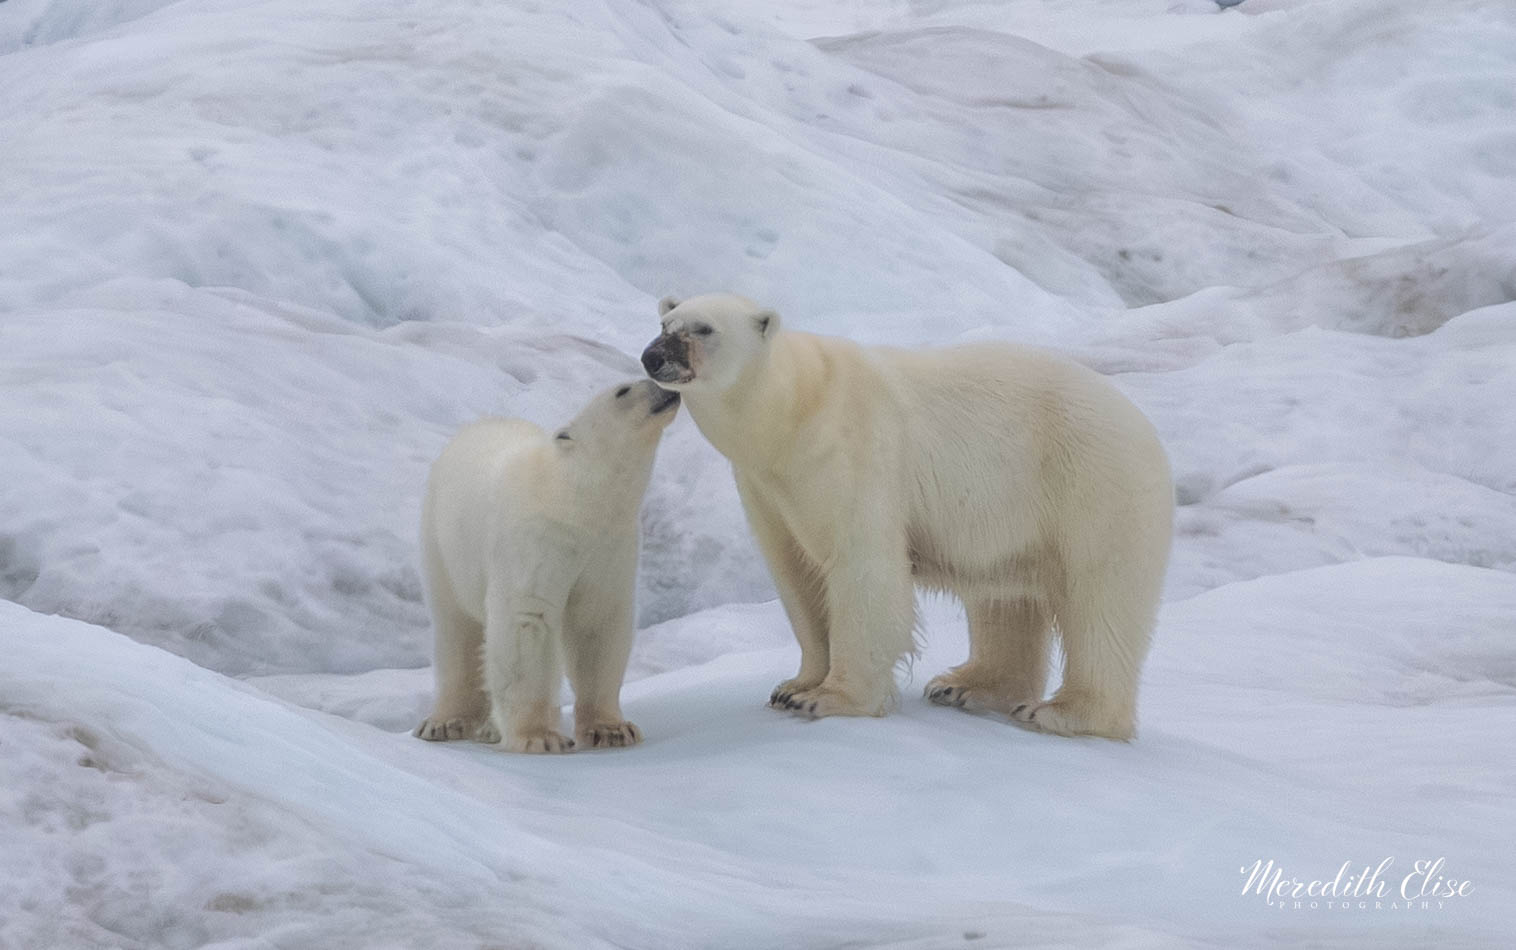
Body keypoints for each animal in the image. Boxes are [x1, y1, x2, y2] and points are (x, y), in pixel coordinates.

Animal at [413, 380, 680, 753]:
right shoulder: (536, 540)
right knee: (456, 629)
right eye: (623, 390)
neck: (572, 499)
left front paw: (612, 730)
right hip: (444, 545)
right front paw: (539, 737)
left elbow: (595, 624)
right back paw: (445, 723)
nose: (664, 387)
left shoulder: (610, 548)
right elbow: (526, 622)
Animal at [641, 293, 1173, 740]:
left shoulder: (853, 450)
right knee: (1007, 595)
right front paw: (793, 686)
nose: (652, 356)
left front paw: (829, 698)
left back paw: (1063, 712)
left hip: (1092, 484)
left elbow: (861, 566)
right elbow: (796, 576)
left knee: (1100, 600)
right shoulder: (766, 487)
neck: (792, 411)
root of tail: (1144, 428)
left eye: (704, 328)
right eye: (665, 321)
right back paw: (965, 685)